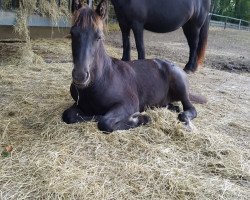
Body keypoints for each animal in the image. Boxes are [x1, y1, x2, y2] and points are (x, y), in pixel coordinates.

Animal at [63, 1, 206, 133]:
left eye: (99, 36)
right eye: (72, 33)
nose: (80, 76)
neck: (101, 79)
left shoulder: (128, 103)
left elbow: (105, 122)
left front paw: (141, 118)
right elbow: (68, 115)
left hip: (181, 86)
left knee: (190, 108)